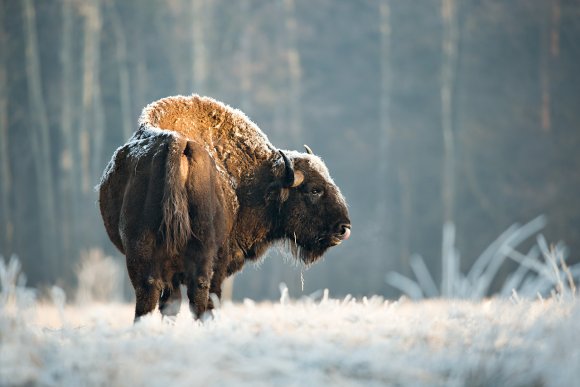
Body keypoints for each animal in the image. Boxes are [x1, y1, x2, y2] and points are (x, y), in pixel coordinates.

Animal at [98, 96, 352, 322]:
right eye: (314, 190)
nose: (344, 228)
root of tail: (177, 144)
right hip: (202, 258)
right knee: (201, 297)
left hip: (142, 256)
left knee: (148, 298)